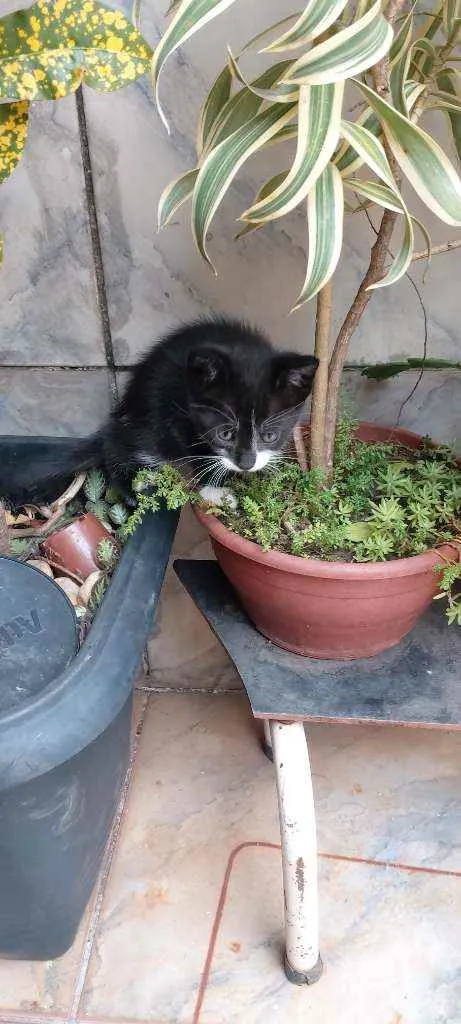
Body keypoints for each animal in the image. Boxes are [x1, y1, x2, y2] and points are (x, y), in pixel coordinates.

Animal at [3, 317, 319, 505]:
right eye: (225, 434)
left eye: (270, 435)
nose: (246, 464)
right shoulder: (176, 412)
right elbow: (195, 452)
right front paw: (214, 490)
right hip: (145, 424)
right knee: (121, 446)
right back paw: (130, 489)